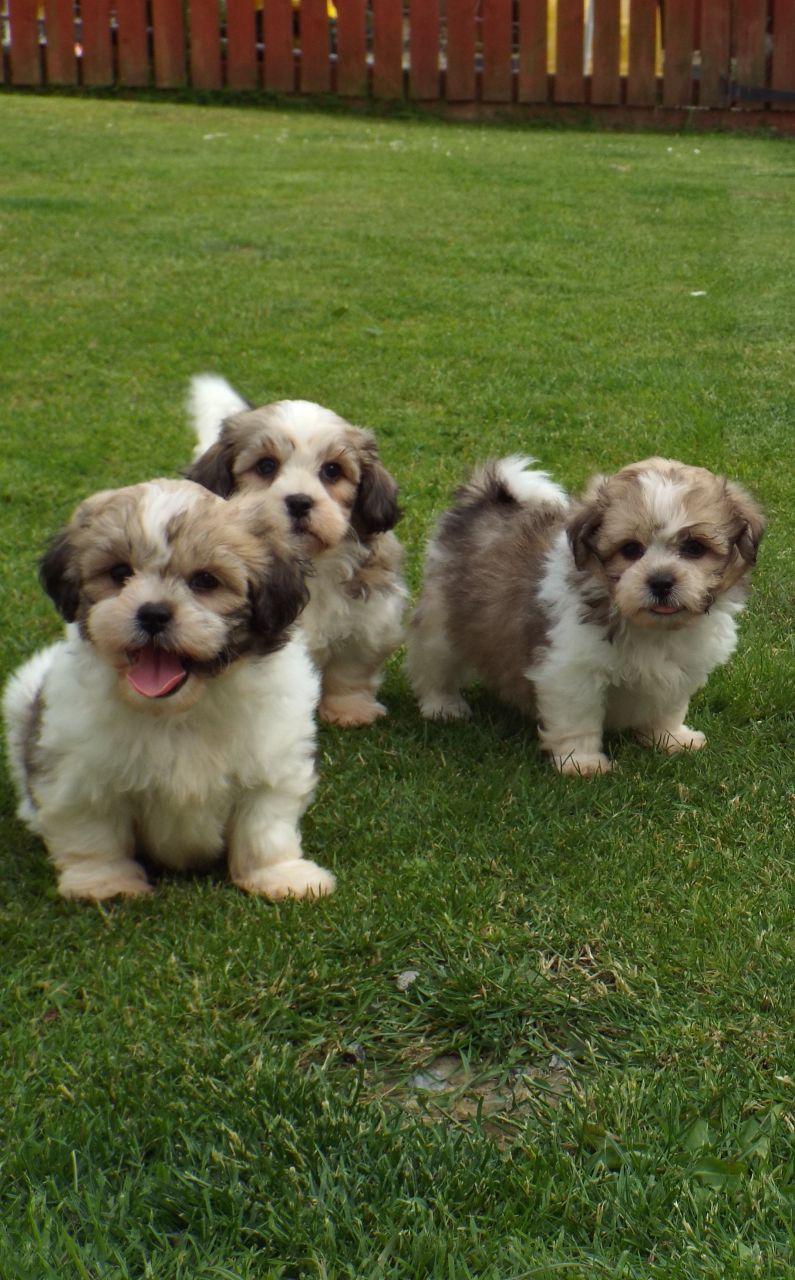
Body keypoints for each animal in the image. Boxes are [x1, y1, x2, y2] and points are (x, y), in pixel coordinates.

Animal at [2, 478, 335, 901]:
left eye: (205, 581)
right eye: (119, 573)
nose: (153, 613)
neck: (178, 710)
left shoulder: (272, 762)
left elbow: (264, 826)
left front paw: (278, 875)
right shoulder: (80, 771)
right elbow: (94, 832)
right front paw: (105, 883)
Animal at [185, 373, 407, 727]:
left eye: (332, 470)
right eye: (266, 466)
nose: (300, 502)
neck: (308, 563)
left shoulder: (370, 616)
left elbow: (351, 670)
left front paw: (349, 711)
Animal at [409, 460, 762, 778]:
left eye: (694, 548)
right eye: (630, 549)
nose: (661, 582)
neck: (650, 626)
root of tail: (487, 496)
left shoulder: (682, 667)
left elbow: (668, 706)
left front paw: (671, 738)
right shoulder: (570, 672)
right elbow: (577, 718)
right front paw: (582, 763)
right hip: (443, 618)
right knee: (434, 664)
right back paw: (443, 705)